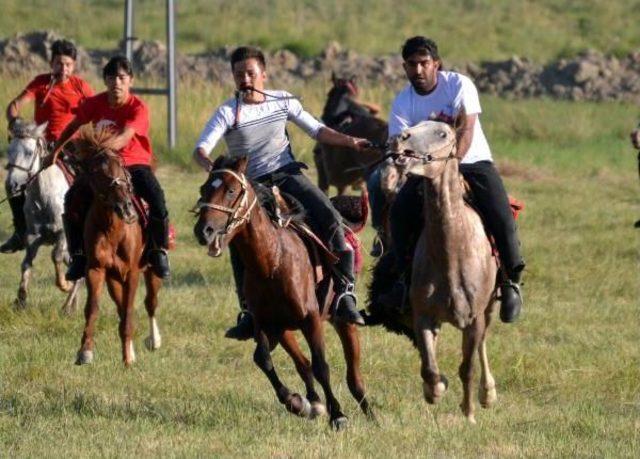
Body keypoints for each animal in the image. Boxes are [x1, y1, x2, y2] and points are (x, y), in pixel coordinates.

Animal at [5, 119, 81, 312]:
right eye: (9, 151)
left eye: (29, 152)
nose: (11, 184)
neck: (46, 197)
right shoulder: (33, 236)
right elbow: (26, 263)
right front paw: (21, 300)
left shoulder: (62, 235)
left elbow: (56, 257)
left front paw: (64, 285)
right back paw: (71, 306)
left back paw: (67, 306)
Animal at [72, 127, 162, 368]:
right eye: (96, 172)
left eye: (120, 167)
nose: (126, 208)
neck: (112, 227)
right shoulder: (96, 269)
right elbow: (92, 308)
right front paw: (85, 351)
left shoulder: (132, 272)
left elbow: (130, 312)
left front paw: (127, 360)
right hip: (113, 278)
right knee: (121, 307)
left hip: (152, 271)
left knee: (150, 303)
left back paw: (154, 341)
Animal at [192, 155, 372, 432]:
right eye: (204, 189)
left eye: (231, 190)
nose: (204, 230)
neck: (272, 261)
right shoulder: (263, 324)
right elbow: (263, 359)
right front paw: (297, 402)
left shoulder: (310, 319)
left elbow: (321, 366)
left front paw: (338, 415)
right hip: (284, 329)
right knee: (302, 364)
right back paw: (313, 403)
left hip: (341, 321)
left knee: (353, 375)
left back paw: (370, 414)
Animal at [368, 120, 498, 422]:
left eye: (442, 133)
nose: (400, 139)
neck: (453, 255)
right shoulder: (424, 317)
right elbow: (428, 366)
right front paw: (435, 389)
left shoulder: (474, 320)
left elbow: (467, 367)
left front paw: (469, 414)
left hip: (489, 309)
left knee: (483, 345)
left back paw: (488, 393)